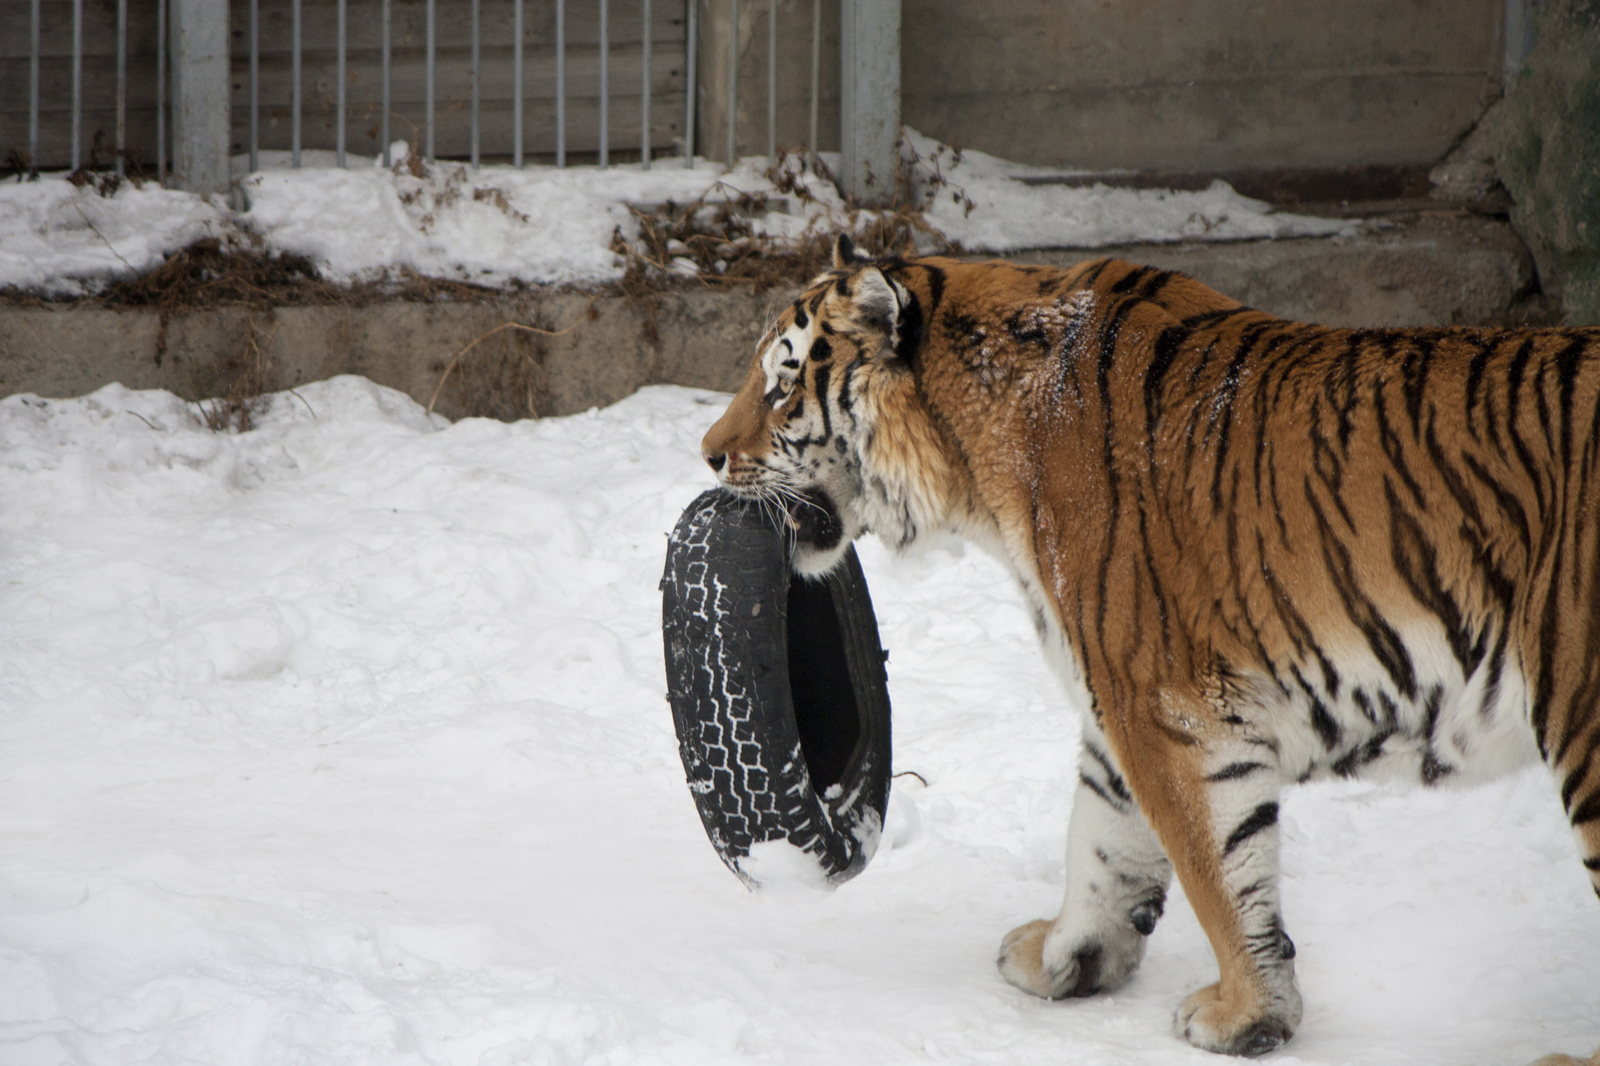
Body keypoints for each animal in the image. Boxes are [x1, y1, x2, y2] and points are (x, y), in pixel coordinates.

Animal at [707, 236, 1600, 1056]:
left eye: (781, 384)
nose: (709, 453)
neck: (978, 452)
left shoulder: (1167, 706)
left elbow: (1216, 871)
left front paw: (1244, 1015)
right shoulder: (1116, 703)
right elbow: (1102, 843)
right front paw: (1066, 956)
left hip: (1582, 724)